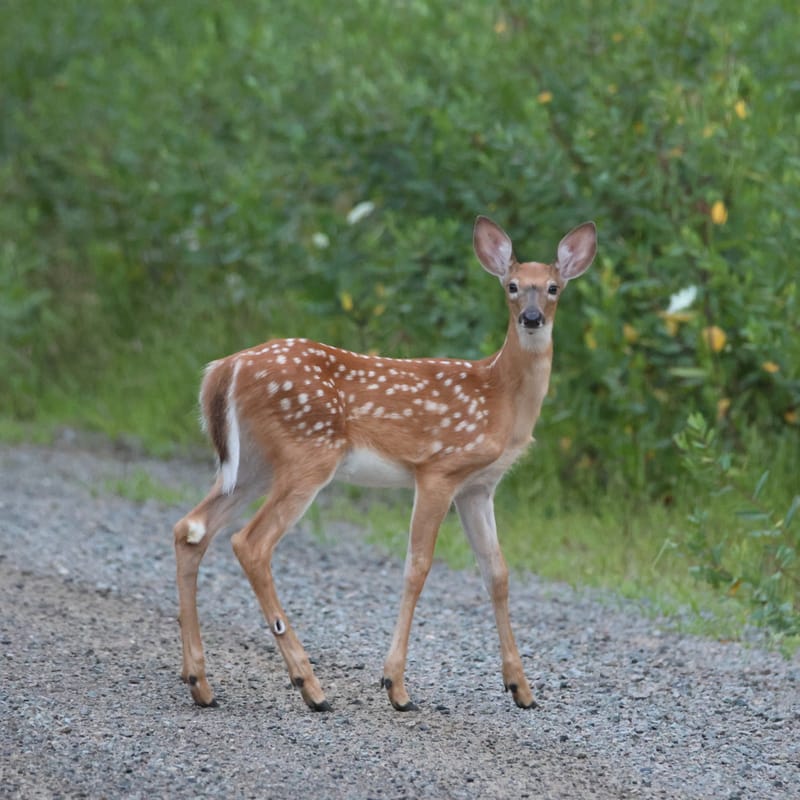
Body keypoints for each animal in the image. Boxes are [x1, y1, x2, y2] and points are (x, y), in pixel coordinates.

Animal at [173, 215, 596, 712]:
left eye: (552, 287)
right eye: (512, 286)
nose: (532, 318)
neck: (500, 397)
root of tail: (225, 368)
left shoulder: (478, 487)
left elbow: (497, 573)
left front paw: (521, 689)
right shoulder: (438, 469)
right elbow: (417, 567)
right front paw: (395, 686)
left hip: (252, 465)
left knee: (191, 528)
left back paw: (200, 682)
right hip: (308, 452)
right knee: (250, 543)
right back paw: (310, 686)